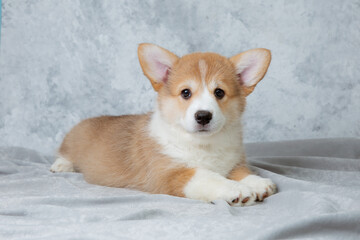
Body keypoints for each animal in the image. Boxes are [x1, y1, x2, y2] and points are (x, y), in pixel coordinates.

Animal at [50, 42, 276, 206]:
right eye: (186, 92)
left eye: (219, 92)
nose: (203, 116)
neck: (203, 144)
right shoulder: (169, 174)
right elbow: (207, 176)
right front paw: (234, 189)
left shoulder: (233, 162)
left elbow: (240, 172)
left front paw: (257, 182)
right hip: (73, 140)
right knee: (65, 153)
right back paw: (61, 165)